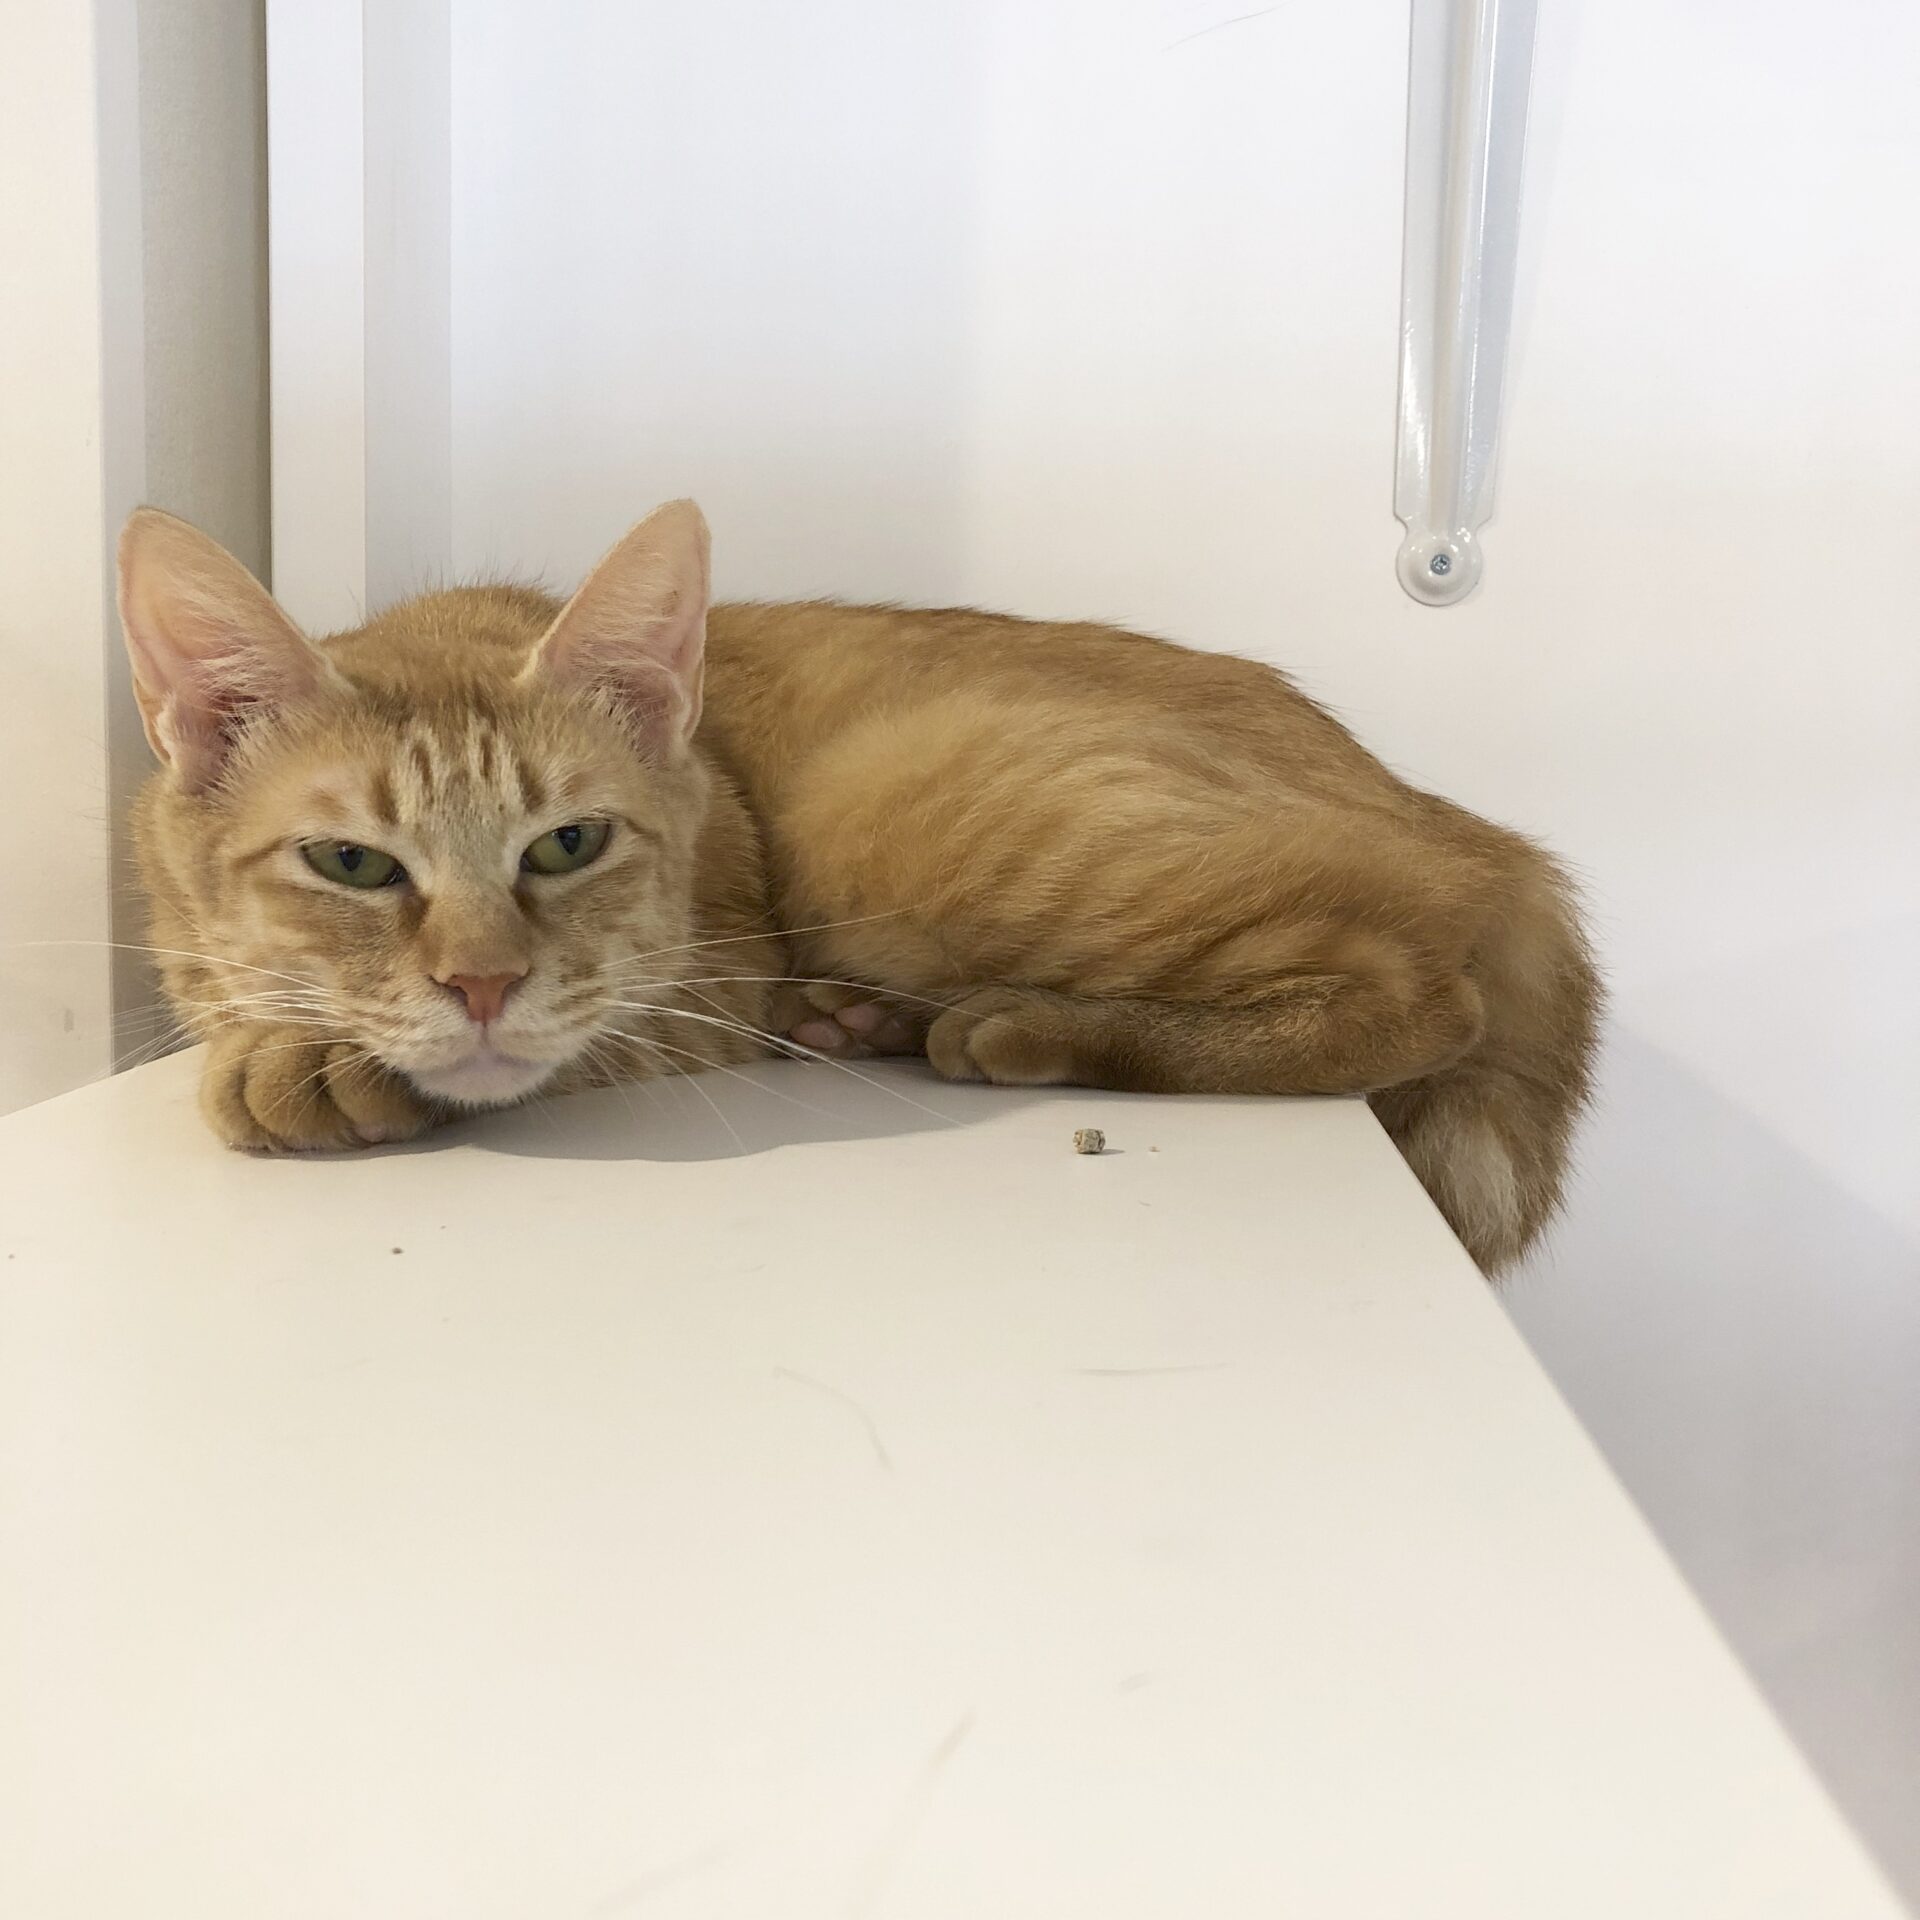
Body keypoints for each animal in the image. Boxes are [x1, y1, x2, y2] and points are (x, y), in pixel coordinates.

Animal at [118, 499, 1599, 1272]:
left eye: (566, 846)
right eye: (352, 862)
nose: (482, 982)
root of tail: (1486, 835)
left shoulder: (711, 974)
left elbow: (564, 1036)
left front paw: (306, 1063)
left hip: (897, 816)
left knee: (1417, 992)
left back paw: (1021, 1028)